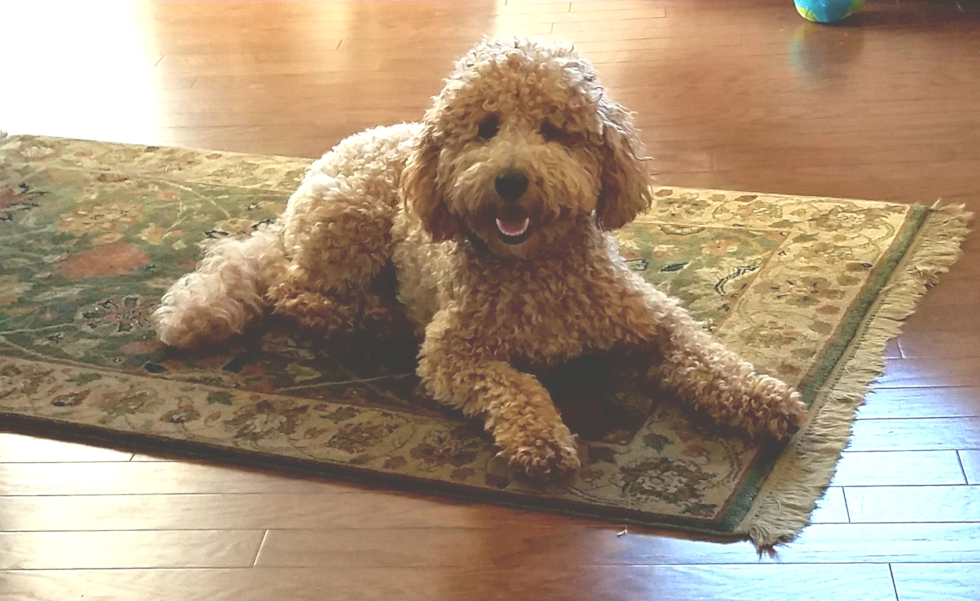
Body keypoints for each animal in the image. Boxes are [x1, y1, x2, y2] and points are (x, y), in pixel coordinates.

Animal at [153, 38, 808, 478]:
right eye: (487, 127)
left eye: (553, 130)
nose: (511, 181)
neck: (537, 268)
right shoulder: (453, 352)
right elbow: (515, 386)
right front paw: (541, 441)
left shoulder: (654, 320)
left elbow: (708, 355)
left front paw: (763, 398)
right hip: (350, 223)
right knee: (289, 287)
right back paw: (360, 317)